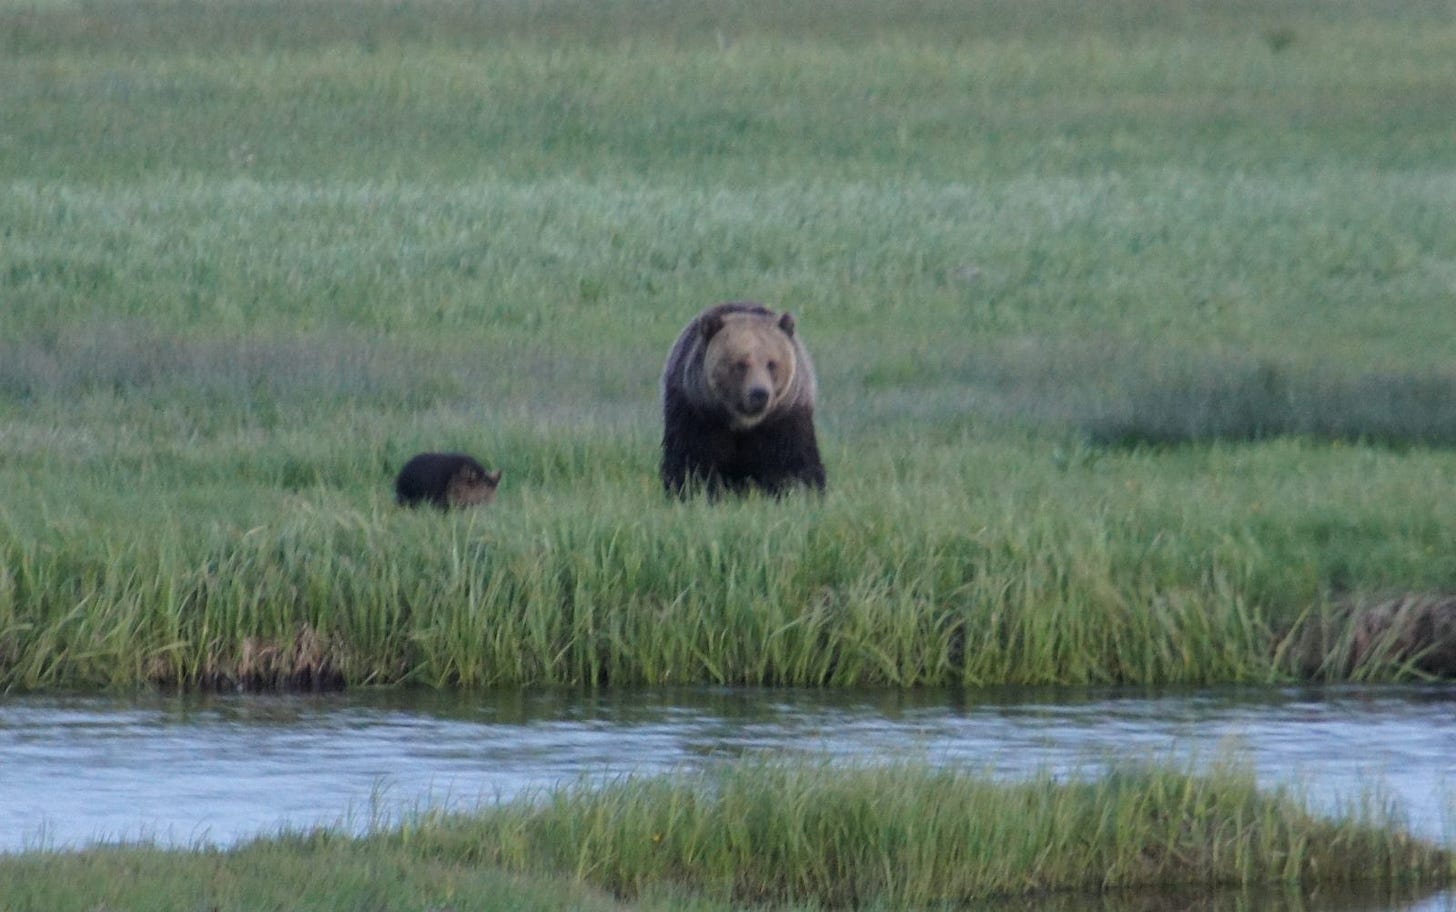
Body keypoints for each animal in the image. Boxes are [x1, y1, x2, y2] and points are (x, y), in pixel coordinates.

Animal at [663, 301, 827, 492]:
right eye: (740, 364)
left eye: (771, 364)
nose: (759, 394)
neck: (744, 423)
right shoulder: (698, 412)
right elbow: (693, 458)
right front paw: (695, 487)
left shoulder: (786, 417)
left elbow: (792, 460)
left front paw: (797, 488)